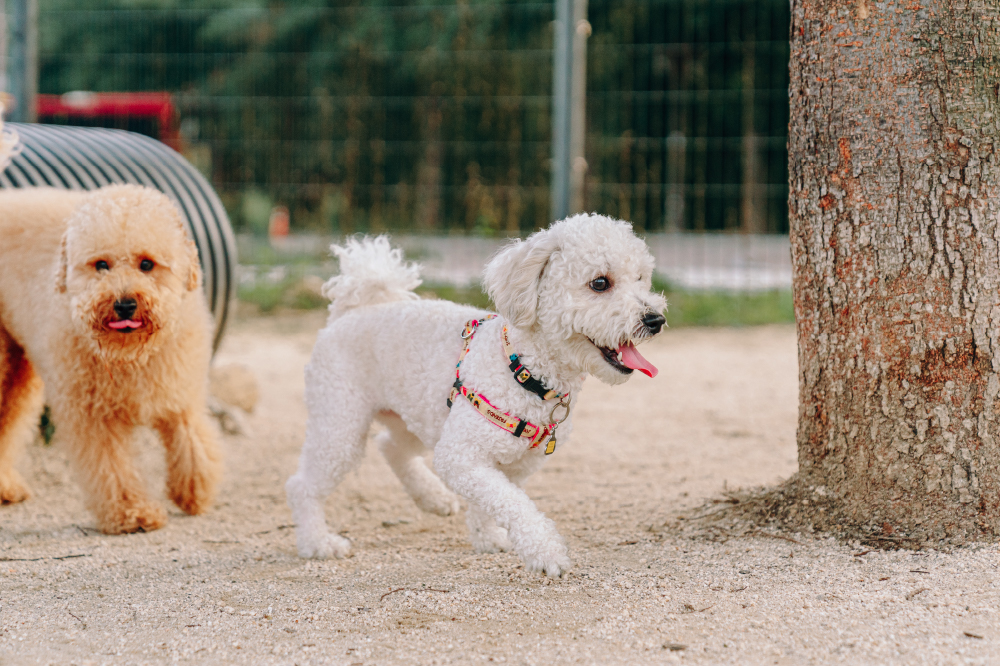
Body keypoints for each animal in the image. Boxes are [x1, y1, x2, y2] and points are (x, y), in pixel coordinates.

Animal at [0, 184, 221, 532]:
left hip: (18, 370)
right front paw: (133, 513)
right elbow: (113, 469)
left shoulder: (179, 393)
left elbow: (192, 442)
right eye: (101, 264)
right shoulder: (94, 416)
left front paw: (194, 491)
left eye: (147, 264)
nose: (125, 303)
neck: (130, 355)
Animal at [286, 214, 668, 576]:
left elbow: (495, 500)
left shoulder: (513, 464)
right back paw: (318, 542)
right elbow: (512, 503)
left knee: (390, 447)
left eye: (640, 278)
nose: (656, 319)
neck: (524, 371)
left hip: (416, 416)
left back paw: (433, 499)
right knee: (302, 485)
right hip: (341, 427)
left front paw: (487, 537)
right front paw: (546, 552)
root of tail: (351, 311)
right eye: (600, 283)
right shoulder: (460, 455)